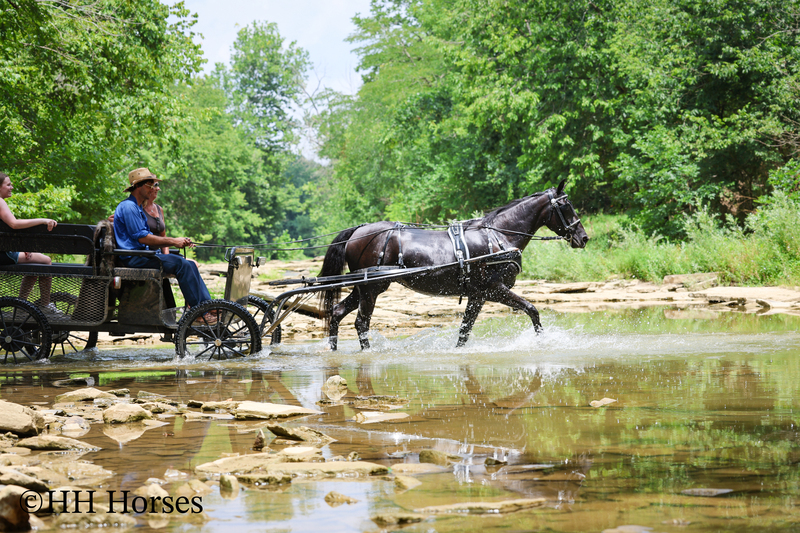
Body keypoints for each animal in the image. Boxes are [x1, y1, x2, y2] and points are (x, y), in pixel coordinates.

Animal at [319, 180, 589, 350]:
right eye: (566, 205)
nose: (583, 237)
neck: (498, 237)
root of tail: (358, 231)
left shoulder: (478, 295)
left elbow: (465, 330)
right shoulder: (494, 289)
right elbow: (532, 309)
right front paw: (543, 342)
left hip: (362, 288)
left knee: (337, 313)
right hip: (371, 289)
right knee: (361, 323)